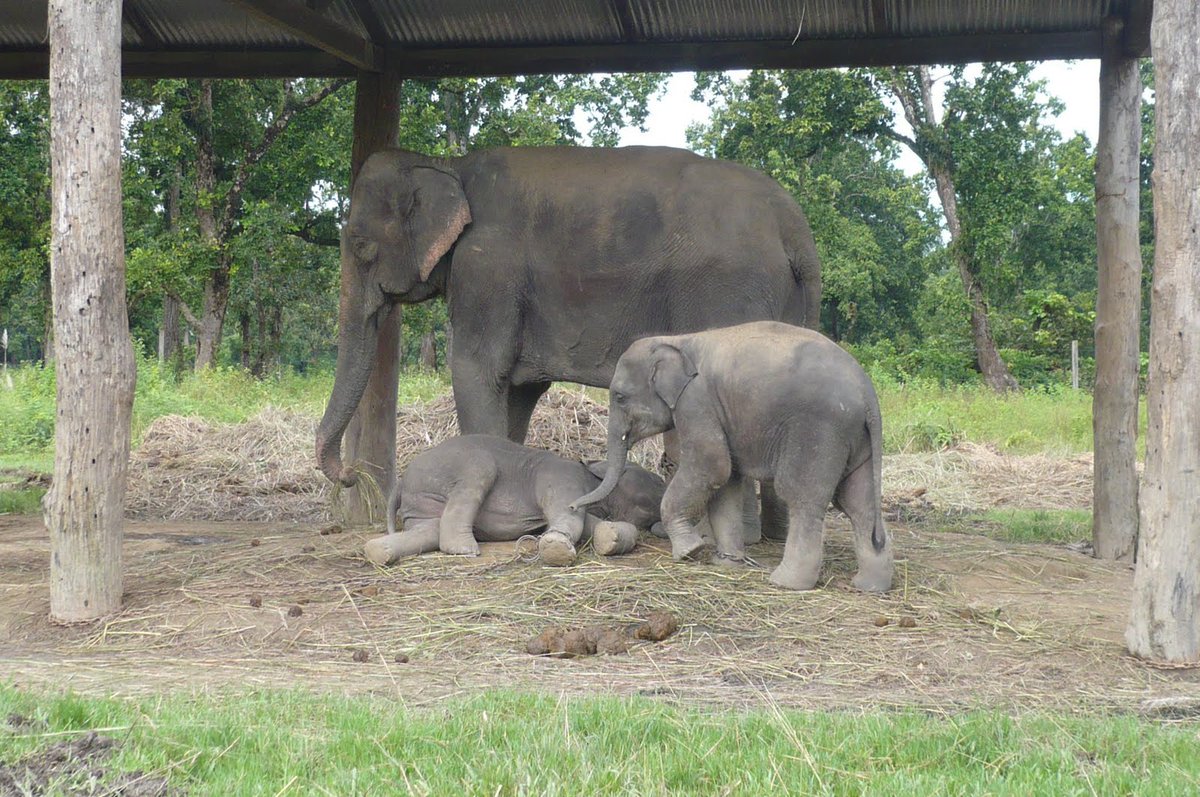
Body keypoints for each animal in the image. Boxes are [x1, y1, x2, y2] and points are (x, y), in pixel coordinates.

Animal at [315, 145, 821, 492]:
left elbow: (478, 371)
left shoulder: (487, 269)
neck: (447, 163)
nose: (352, 474)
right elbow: (517, 389)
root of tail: (794, 223)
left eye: (360, 246)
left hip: (728, 292)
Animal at [362, 434, 665, 567]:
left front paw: (610, 536)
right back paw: (465, 549)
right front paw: (557, 550)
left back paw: (378, 552)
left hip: (421, 503)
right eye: (659, 481)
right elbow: (568, 514)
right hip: (461, 468)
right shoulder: (561, 478)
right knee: (478, 473)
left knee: (427, 530)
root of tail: (401, 481)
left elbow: (586, 522)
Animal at [571, 321, 893, 593]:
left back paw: (785, 582)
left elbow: (711, 465)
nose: (574, 506)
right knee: (858, 504)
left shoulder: (696, 402)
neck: (676, 340)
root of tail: (868, 394)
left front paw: (690, 552)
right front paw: (725, 563)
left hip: (819, 431)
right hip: (858, 439)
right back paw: (870, 586)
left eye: (620, 397)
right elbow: (727, 482)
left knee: (802, 497)